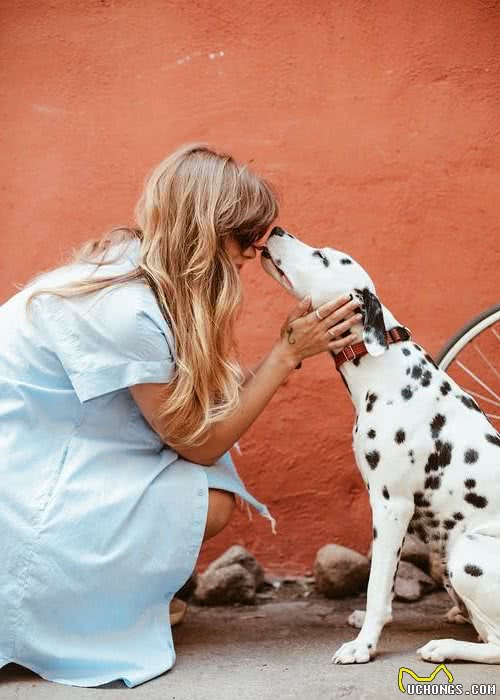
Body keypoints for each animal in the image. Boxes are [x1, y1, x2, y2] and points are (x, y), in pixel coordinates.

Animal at [260, 227, 500, 664]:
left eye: (323, 257)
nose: (276, 229)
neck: (385, 365)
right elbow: (382, 585)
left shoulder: (392, 506)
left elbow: (375, 585)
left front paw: (363, 646)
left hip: (466, 553)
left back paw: (444, 646)